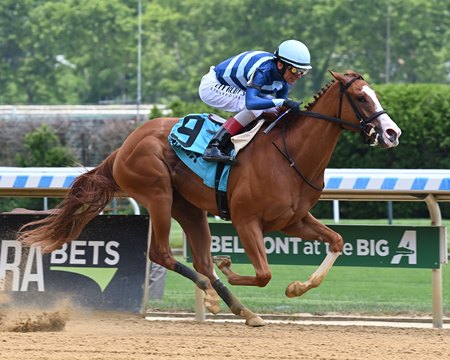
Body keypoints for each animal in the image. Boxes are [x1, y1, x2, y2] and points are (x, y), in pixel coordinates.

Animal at [19, 70, 402, 326]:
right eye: (362, 98)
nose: (392, 132)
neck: (290, 154)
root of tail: (123, 146)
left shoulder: (293, 220)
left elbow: (336, 241)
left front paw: (297, 287)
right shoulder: (247, 220)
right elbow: (263, 273)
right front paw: (230, 266)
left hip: (188, 208)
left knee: (200, 260)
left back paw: (241, 309)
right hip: (158, 193)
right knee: (161, 253)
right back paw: (210, 291)